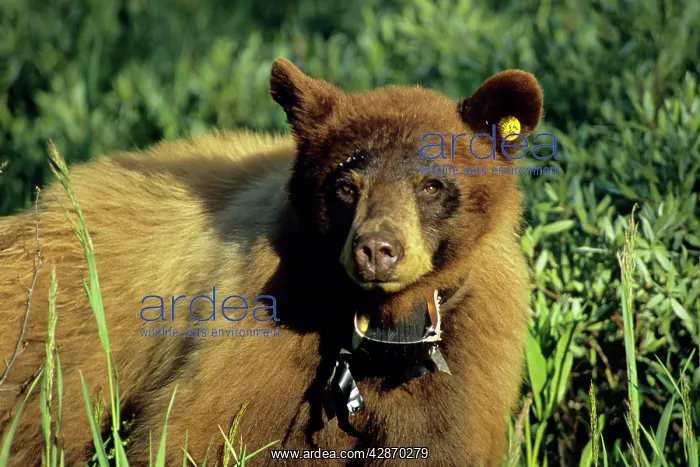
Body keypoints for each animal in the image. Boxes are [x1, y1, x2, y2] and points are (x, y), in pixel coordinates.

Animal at [0, 58, 543, 466]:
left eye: (430, 185)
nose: (375, 249)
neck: (381, 336)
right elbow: (198, 433)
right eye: (344, 185)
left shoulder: (467, 361)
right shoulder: (262, 324)